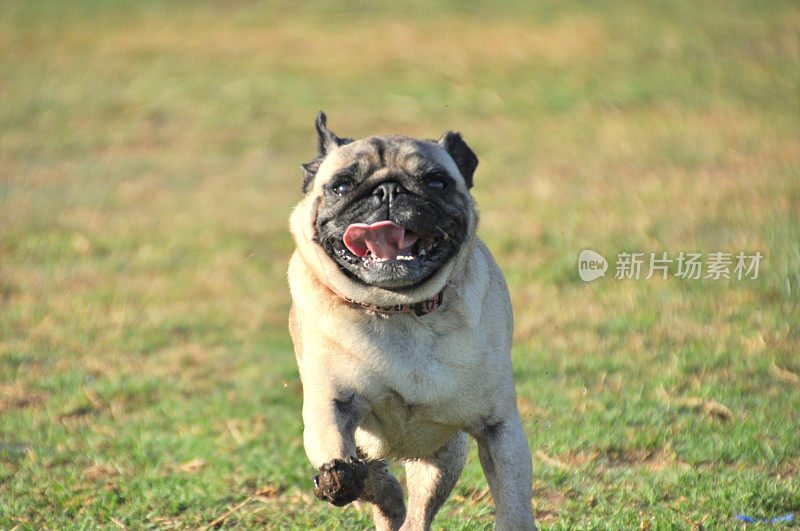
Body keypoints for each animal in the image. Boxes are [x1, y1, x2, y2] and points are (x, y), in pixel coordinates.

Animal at [288, 112, 536, 531]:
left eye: (436, 182)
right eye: (342, 186)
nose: (388, 191)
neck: (399, 311)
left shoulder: (500, 429)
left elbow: (514, 501)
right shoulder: (330, 402)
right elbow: (339, 449)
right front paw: (341, 477)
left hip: (443, 460)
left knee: (416, 514)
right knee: (379, 487)